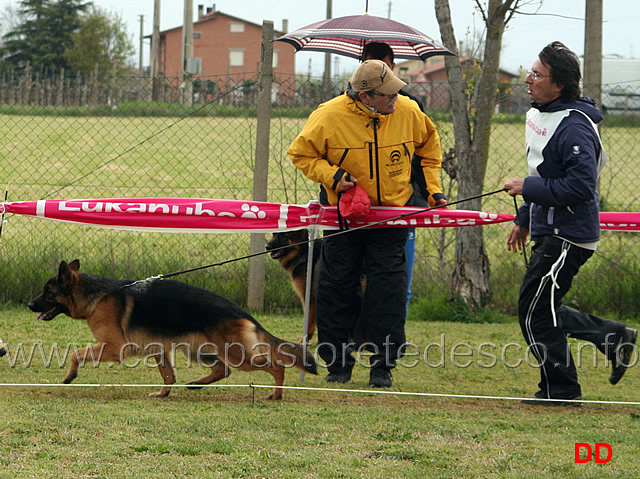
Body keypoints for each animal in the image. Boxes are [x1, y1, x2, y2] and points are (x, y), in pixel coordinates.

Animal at [28, 260, 318, 400]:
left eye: (47, 292)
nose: (30, 304)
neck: (97, 295)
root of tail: (244, 314)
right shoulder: (159, 348)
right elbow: (168, 375)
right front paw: (163, 393)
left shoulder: (115, 347)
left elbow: (76, 353)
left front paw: (70, 376)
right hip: (199, 351)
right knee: (223, 370)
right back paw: (196, 385)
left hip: (236, 355)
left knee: (275, 366)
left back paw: (276, 394)